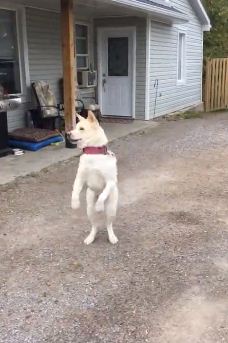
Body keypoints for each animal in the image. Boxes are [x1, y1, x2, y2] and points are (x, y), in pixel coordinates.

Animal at [69, 111, 119, 246]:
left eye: (81, 129)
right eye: (75, 127)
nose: (68, 133)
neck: (93, 153)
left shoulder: (110, 182)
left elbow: (103, 195)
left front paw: (99, 205)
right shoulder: (79, 178)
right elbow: (75, 191)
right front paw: (74, 203)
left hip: (111, 208)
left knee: (108, 225)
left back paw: (112, 237)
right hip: (89, 208)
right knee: (95, 226)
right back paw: (91, 237)